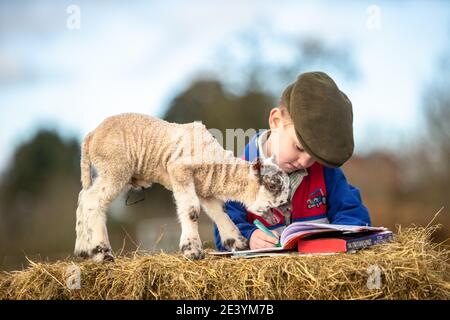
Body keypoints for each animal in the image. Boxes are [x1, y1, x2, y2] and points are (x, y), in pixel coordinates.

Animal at [74, 114, 288, 262]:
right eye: (272, 185)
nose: (287, 211)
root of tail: (91, 136)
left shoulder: (204, 185)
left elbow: (219, 211)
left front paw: (236, 242)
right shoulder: (179, 170)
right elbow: (191, 210)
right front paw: (192, 250)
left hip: (108, 171)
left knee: (83, 197)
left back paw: (82, 250)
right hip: (115, 167)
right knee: (93, 201)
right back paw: (102, 253)